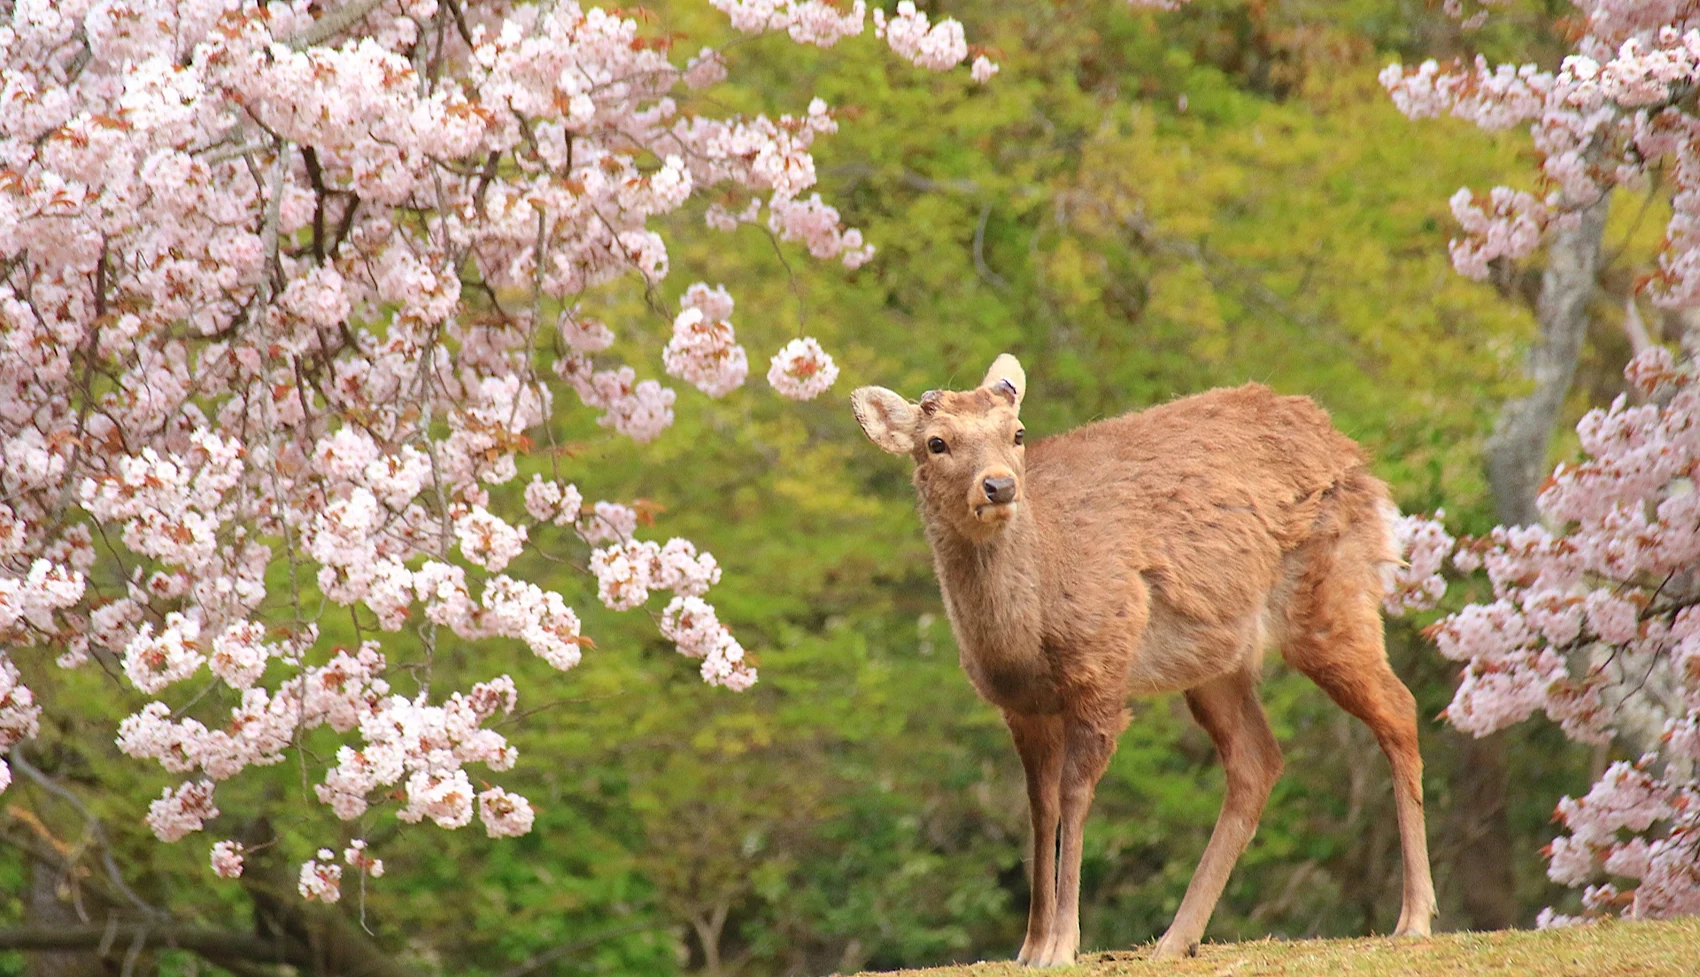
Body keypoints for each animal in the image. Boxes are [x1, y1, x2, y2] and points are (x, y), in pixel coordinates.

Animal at [849, 354, 1436, 966]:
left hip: (1333, 595)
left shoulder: (1102, 671)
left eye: (1017, 433)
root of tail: (1349, 449)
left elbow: (1074, 797)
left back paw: (1414, 917)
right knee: (1258, 760)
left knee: (1398, 707)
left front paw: (1062, 945)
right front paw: (1029, 948)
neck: (1023, 637)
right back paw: (1177, 938)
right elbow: (1039, 806)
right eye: (936, 442)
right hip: (1216, 661)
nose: (1000, 485)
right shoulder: (1022, 707)